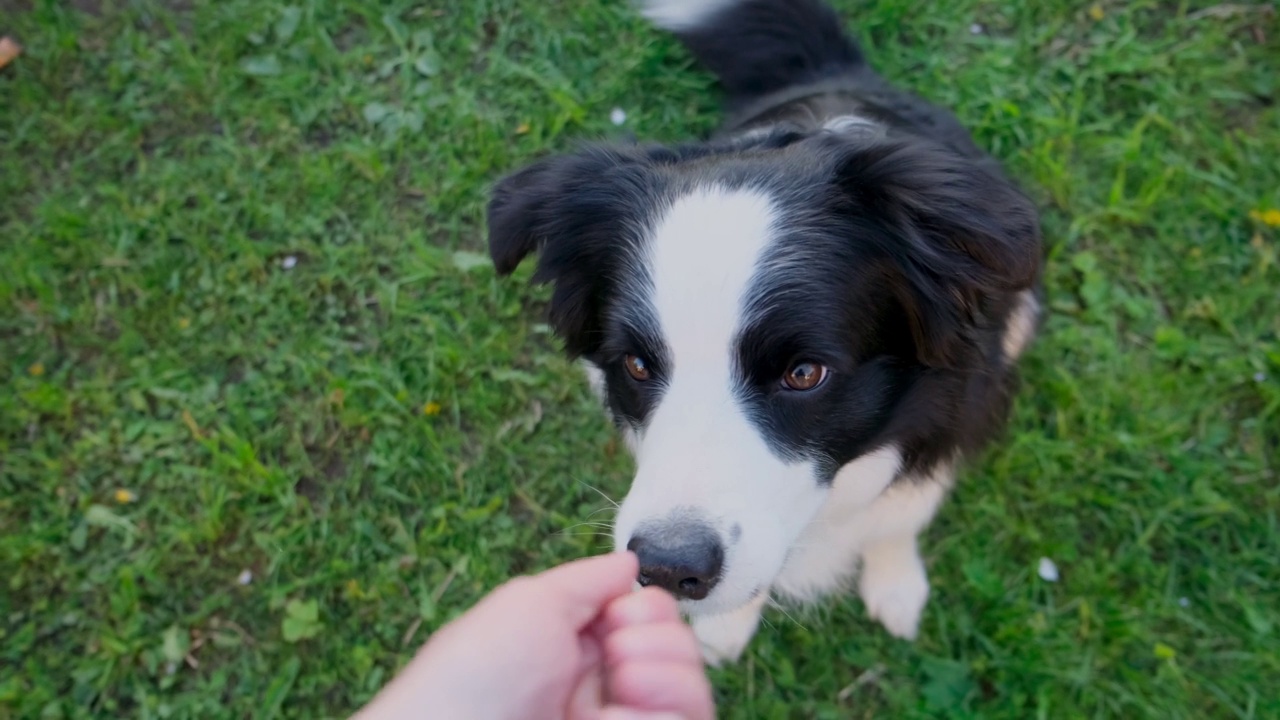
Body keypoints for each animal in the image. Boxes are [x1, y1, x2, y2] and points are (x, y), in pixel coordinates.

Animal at [486, 0, 1039, 661]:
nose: (668, 569)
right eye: (637, 365)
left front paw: (897, 582)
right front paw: (725, 627)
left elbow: (899, 516)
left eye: (804, 373)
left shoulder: (943, 414)